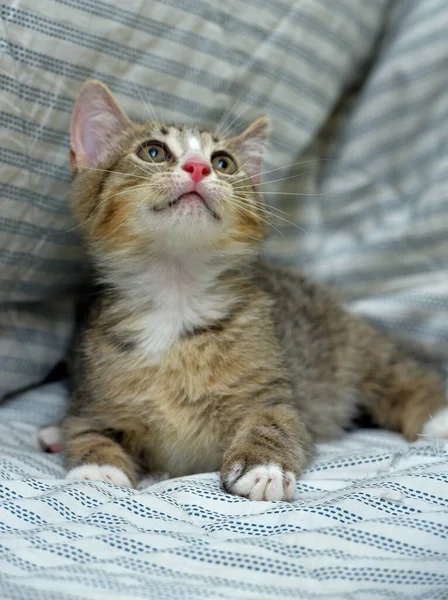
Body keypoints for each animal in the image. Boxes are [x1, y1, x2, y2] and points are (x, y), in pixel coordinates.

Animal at [38, 79, 448, 502]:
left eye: (223, 163)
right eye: (153, 152)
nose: (198, 167)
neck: (175, 299)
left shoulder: (276, 391)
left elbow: (276, 420)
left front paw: (263, 466)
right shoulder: (94, 394)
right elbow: (85, 429)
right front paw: (98, 468)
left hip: (350, 347)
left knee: (402, 374)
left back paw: (438, 419)